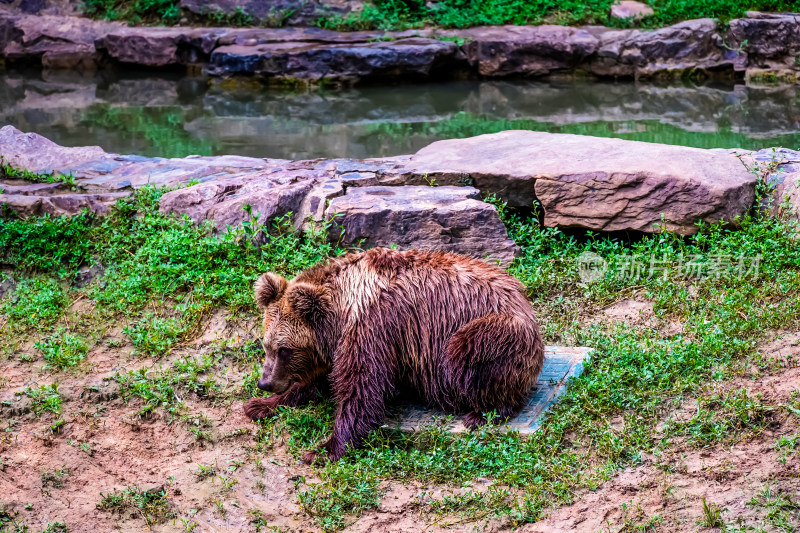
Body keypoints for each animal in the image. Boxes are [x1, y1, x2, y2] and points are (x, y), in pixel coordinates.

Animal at [244, 247, 544, 460]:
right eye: (266, 345)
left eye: (285, 349)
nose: (265, 382)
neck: (342, 310)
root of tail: (525, 301)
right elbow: (319, 380)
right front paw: (260, 405)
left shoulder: (376, 328)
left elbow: (361, 387)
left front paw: (325, 448)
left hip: (494, 329)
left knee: (468, 354)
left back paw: (482, 413)